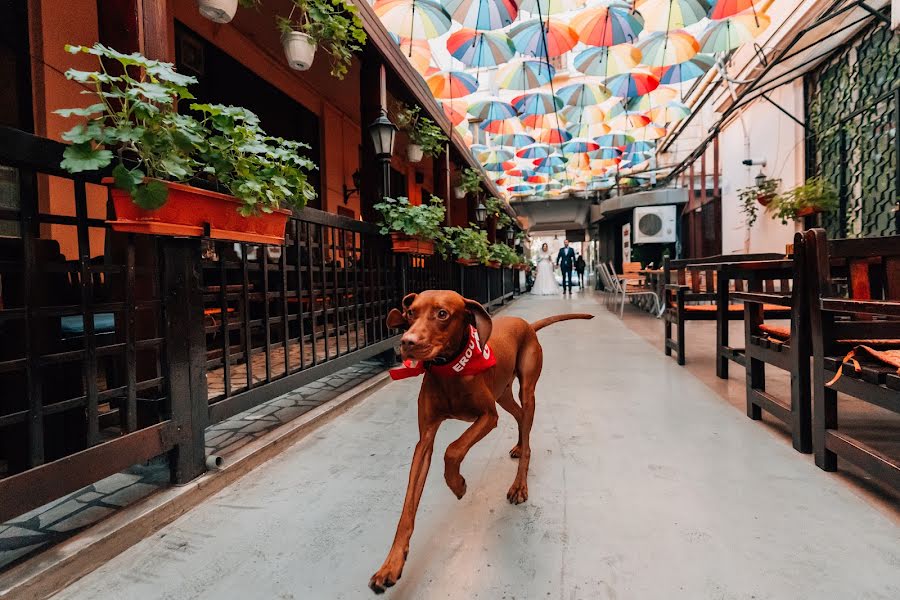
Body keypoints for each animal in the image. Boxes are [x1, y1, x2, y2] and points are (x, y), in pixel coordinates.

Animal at [370, 292, 596, 596]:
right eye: (410, 312)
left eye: (442, 314)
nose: (407, 342)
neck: (450, 368)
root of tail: (526, 324)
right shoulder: (425, 440)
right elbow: (408, 508)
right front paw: (391, 565)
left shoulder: (488, 417)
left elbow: (453, 449)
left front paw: (457, 485)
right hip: (503, 394)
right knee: (521, 418)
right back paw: (518, 446)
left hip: (526, 390)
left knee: (527, 425)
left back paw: (519, 484)